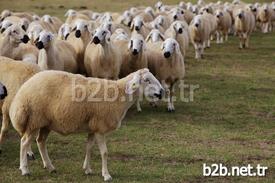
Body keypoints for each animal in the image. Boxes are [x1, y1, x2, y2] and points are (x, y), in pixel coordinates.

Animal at [9, 68, 164, 182]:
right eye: (147, 80)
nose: (162, 92)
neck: (120, 94)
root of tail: (23, 89)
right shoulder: (100, 127)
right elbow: (104, 152)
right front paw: (106, 175)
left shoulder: (93, 127)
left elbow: (89, 148)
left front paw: (87, 169)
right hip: (34, 120)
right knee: (24, 142)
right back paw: (25, 170)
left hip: (46, 123)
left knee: (40, 141)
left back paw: (50, 166)